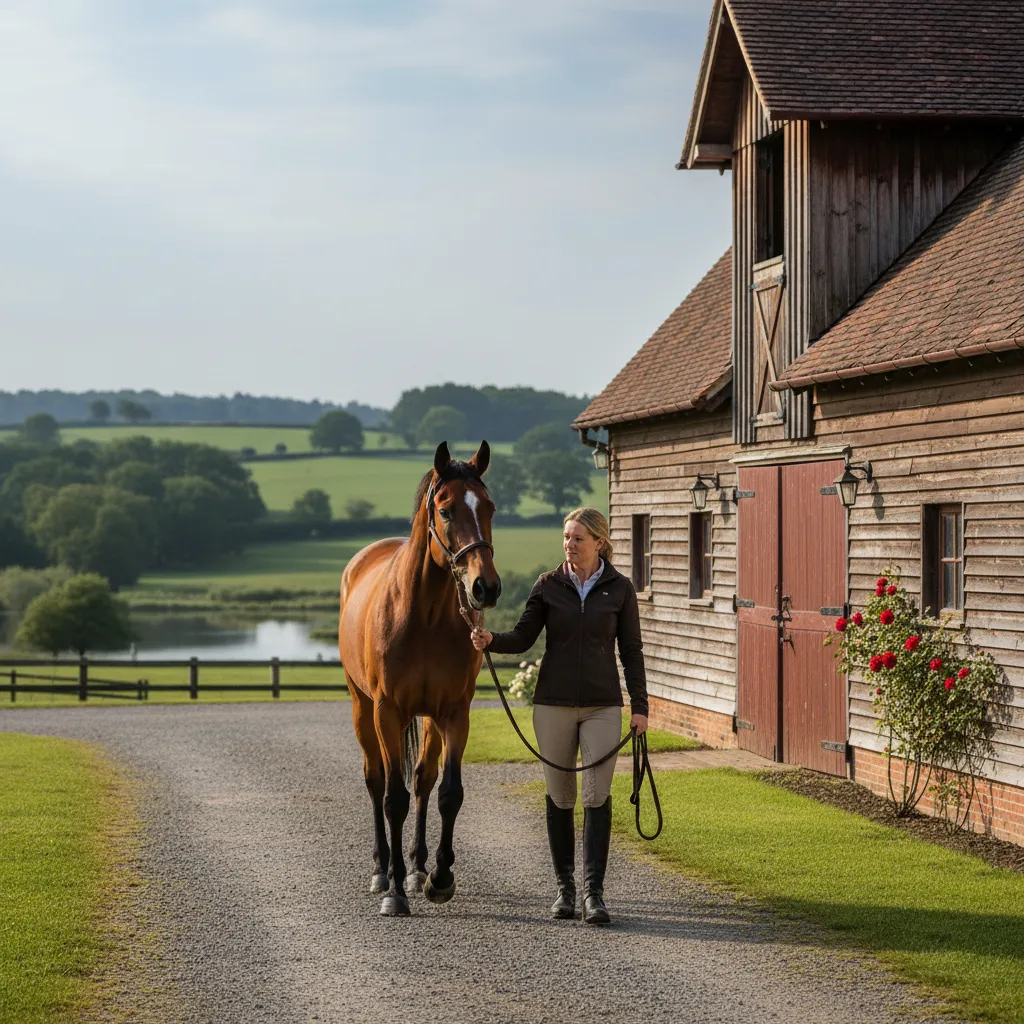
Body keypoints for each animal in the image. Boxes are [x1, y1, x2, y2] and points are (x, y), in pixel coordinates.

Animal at [338, 441, 502, 916]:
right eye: (445, 510)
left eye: (489, 507)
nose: (485, 587)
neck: (424, 615)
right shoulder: (387, 711)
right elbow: (393, 798)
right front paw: (393, 893)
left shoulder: (455, 713)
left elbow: (447, 792)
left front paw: (439, 877)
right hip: (362, 709)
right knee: (376, 780)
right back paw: (383, 870)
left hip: (428, 719)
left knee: (424, 781)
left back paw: (415, 867)